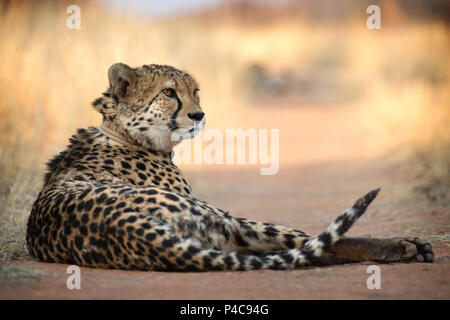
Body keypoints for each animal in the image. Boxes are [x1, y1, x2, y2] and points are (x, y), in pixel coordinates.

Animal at [26, 63, 434, 270]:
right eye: (169, 92)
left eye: (195, 91)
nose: (199, 115)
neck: (125, 132)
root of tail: (129, 227)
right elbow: (315, 238)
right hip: (224, 220)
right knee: (314, 242)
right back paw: (403, 247)